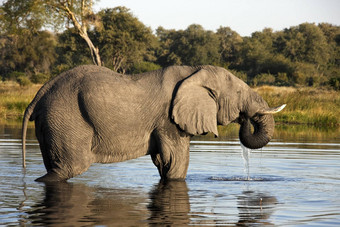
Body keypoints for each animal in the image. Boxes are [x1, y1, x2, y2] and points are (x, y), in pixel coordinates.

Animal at [21, 64, 284, 182]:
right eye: (239, 93)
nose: (245, 119)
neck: (195, 71)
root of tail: (39, 94)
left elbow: (163, 162)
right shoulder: (169, 121)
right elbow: (176, 163)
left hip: (53, 122)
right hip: (66, 118)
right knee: (69, 168)